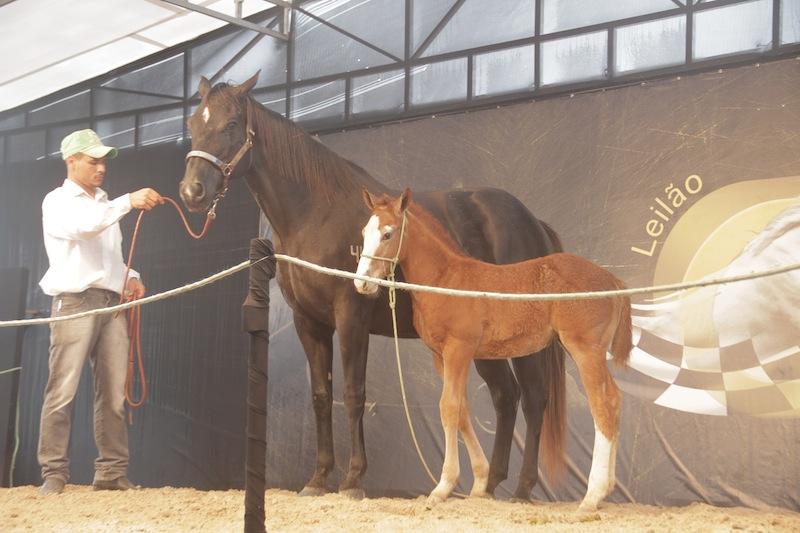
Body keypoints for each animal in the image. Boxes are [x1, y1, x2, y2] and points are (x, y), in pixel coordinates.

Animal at [179, 73, 567, 501]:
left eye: (231, 125)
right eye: (193, 124)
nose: (192, 192)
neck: (316, 215)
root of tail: (533, 223)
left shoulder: (351, 318)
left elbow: (353, 392)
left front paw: (352, 479)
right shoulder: (308, 322)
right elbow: (321, 395)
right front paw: (318, 478)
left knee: (534, 397)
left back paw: (523, 487)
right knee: (505, 396)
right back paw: (489, 484)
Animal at [355, 189, 632, 511]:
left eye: (388, 233)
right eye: (364, 232)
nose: (361, 283)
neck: (447, 279)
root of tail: (613, 281)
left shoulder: (459, 349)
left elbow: (448, 408)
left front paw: (443, 486)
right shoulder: (440, 356)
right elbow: (462, 409)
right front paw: (478, 482)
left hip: (586, 351)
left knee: (602, 404)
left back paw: (592, 495)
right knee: (614, 400)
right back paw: (604, 490)